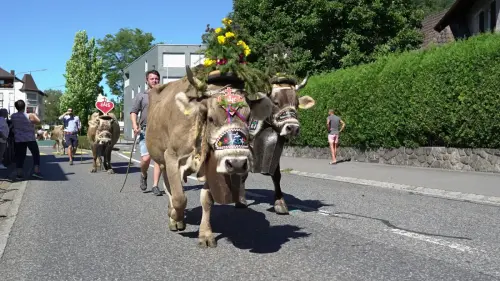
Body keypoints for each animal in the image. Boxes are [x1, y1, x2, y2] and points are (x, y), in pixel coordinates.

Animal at [146, 64, 274, 246]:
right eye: (211, 118)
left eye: (249, 117)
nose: (236, 163)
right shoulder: (172, 157)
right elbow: (179, 197)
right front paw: (175, 216)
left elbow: (207, 200)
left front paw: (205, 234)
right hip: (161, 160)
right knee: (169, 188)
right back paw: (174, 219)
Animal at [236, 75, 314, 213]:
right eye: (276, 102)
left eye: (297, 104)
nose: (293, 128)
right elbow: (242, 173)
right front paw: (240, 200)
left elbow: (276, 175)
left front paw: (280, 203)